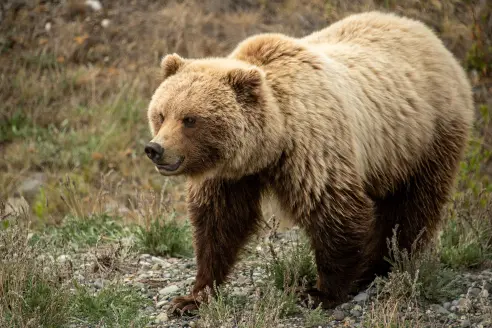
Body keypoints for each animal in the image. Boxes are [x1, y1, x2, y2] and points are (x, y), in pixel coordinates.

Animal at [145, 11, 472, 314]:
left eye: (190, 119)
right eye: (161, 114)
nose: (155, 149)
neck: (270, 145)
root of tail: (429, 35)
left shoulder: (313, 150)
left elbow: (334, 213)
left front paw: (320, 293)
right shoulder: (230, 176)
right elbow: (219, 223)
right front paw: (192, 296)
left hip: (426, 137)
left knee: (413, 205)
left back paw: (385, 265)